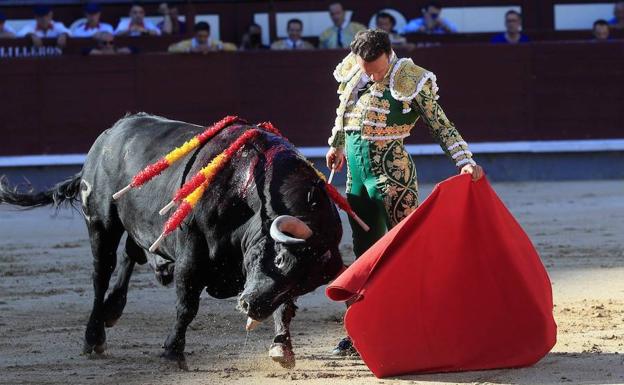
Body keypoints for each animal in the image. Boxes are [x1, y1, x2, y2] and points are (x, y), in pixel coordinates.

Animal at [0, 114, 344, 368]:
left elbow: (283, 306)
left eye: (304, 283)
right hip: (100, 222)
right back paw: (93, 336)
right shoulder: (192, 250)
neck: (249, 190)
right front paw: (172, 352)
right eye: (282, 259)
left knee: (131, 253)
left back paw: (113, 310)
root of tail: (109, 134)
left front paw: (281, 348)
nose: (250, 306)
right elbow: (187, 304)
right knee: (101, 273)